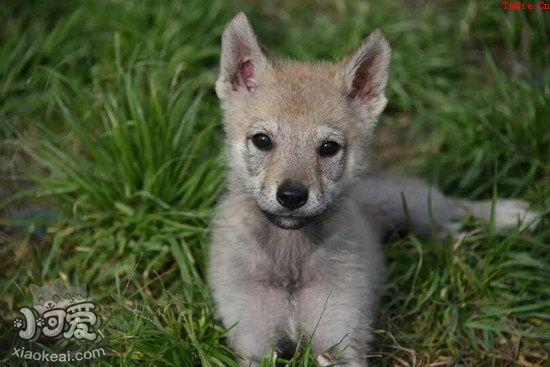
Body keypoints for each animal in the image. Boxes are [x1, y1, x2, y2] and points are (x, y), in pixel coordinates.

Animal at [209, 12, 536, 367]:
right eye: (262, 140)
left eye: (329, 147)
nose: (292, 197)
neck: (290, 259)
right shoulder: (252, 341)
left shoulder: (341, 337)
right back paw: (459, 238)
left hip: (412, 199)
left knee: (456, 205)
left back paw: (510, 215)